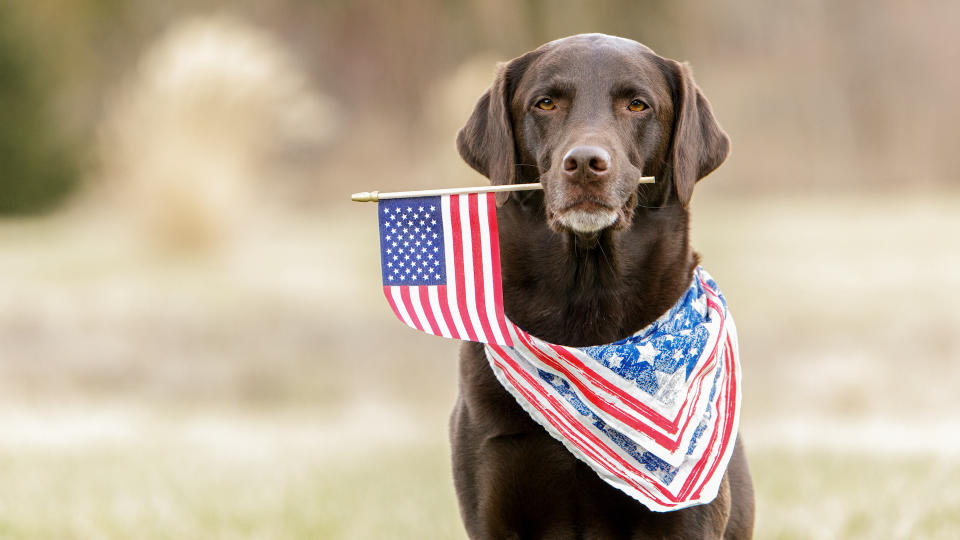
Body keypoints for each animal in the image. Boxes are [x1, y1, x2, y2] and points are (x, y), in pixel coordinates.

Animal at [450, 34, 756, 540]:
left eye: (637, 104)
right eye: (545, 103)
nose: (584, 163)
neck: (587, 302)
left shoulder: (686, 521)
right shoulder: (495, 503)